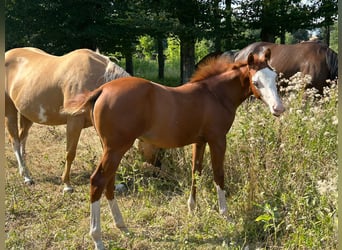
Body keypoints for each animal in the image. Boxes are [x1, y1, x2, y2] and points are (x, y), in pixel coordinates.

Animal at [4, 47, 130, 191]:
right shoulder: (74, 121)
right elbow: (70, 153)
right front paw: (67, 185)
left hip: (27, 113)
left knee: (22, 140)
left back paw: (25, 174)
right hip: (10, 110)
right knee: (15, 141)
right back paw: (26, 177)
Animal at [63, 49, 284, 250]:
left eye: (275, 77)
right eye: (256, 82)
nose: (278, 109)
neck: (215, 95)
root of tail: (101, 90)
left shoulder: (199, 141)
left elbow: (196, 171)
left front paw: (192, 208)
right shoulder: (218, 139)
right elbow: (218, 175)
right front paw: (226, 215)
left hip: (110, 149)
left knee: (108, 181)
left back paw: (122, 227)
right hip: (116, 148)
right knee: (97, 181)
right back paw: (98, 239)